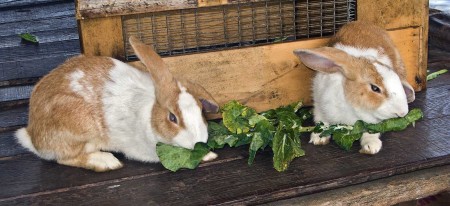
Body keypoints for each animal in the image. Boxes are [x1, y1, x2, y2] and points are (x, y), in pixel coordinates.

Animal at [16, 36, 221, 171]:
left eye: (201, 111)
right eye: (172, 118)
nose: (198, 142)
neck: (150, 112)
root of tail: (33, 136)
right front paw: (209, 155)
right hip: (78, 130)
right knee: (65, 158)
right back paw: (107, 162)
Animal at [294, 21, 416, 154]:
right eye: (375, 88)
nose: (403, 112)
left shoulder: (372, 123)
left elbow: (371, 132)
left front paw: (371, 147)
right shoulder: (320, 106)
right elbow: (322, 122)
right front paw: (318, 139)